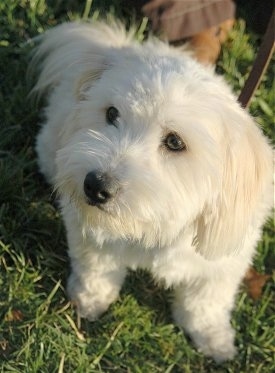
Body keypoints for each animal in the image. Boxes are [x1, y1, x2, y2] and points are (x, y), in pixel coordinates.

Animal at [32, 21, 274, 362]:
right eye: (111, 114)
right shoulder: (91, 233)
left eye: (174, 142)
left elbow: (205, 303)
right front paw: (89, 300)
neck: (158, 220)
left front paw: (214, 339)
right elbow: (96, 269)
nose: (95, 186)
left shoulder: (223, 263)